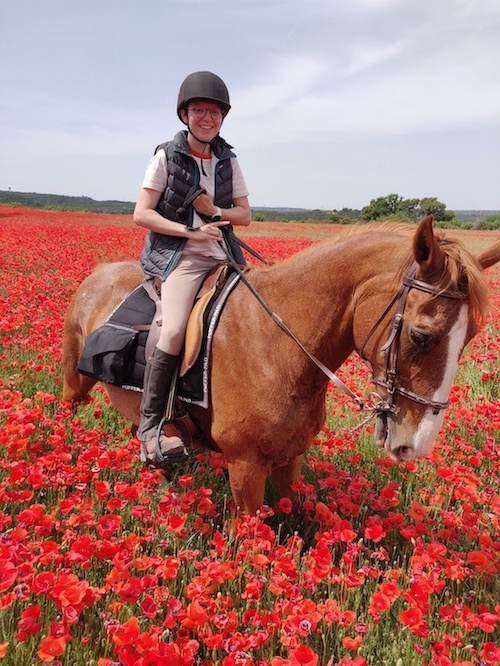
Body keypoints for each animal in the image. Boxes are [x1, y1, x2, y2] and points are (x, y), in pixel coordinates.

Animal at [62, 216, 500, 515]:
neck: (278, 348)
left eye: (471, 336)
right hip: (74, 384)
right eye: (422, 335)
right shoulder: (245, 466)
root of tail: (100, 272)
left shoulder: (290, 459)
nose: (418, 444)